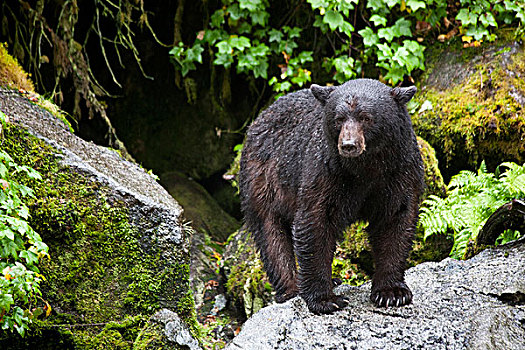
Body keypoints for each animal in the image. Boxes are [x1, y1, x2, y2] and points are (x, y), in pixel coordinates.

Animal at [239, 78, 424, 314]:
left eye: (366, 117)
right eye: (339, 119)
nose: (348, 145)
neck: (365, 167)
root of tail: (258, 118)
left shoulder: (398, 170)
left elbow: (395, 219)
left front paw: (392, 293)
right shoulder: (326, 171)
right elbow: (314, 222)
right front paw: (325, 299)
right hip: (263, 179)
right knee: (271, 234)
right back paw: (292, 288)